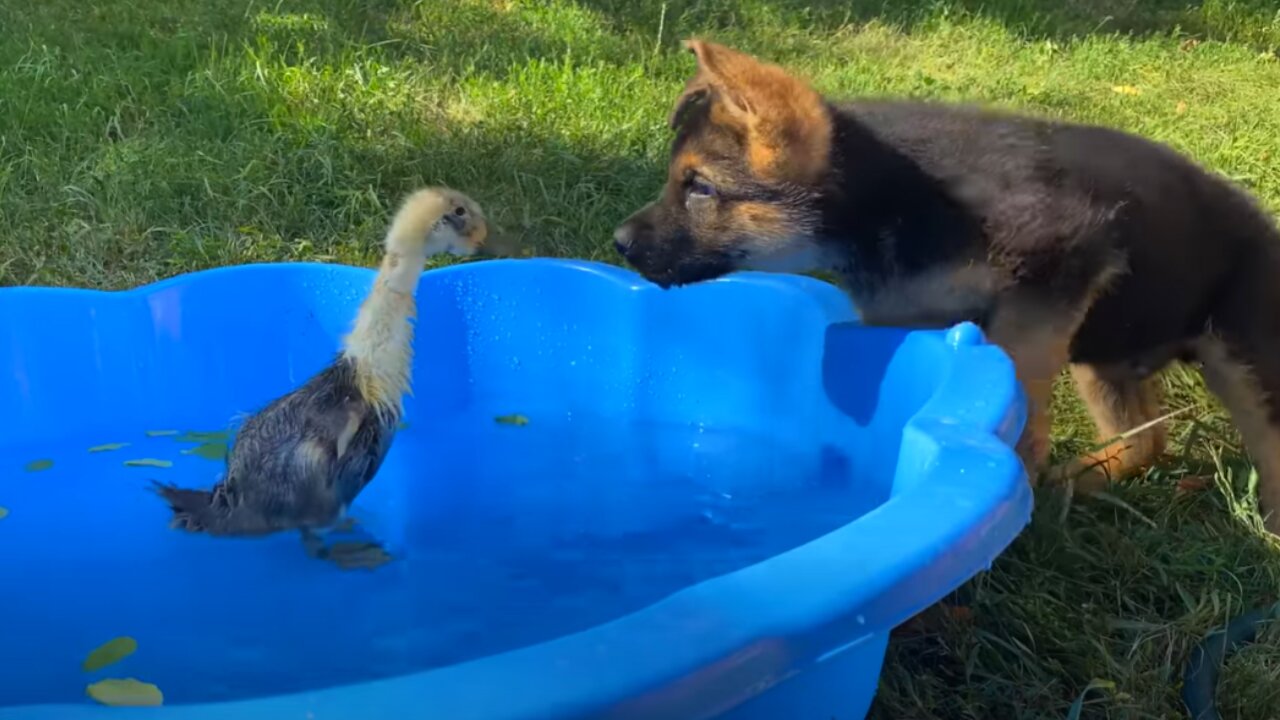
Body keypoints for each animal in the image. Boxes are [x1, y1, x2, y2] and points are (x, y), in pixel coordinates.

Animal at [609, 39, 1280, 532]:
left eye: (700, 187)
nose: (619, 242)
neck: (888, 203)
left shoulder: (1059, 264)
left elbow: (1016, 356)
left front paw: (1021, 450)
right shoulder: (907, 313)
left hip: (1244, 356)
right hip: (1106, 358)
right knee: (1148, 440)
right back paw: (1079, 481)